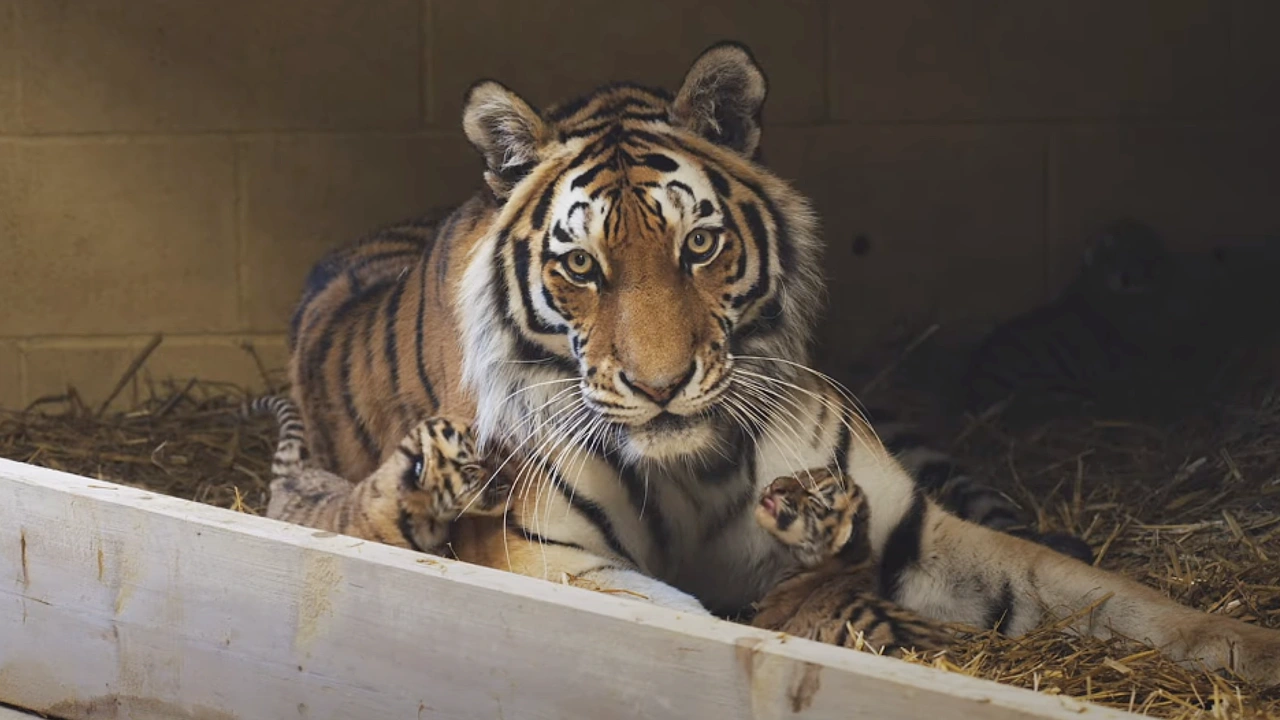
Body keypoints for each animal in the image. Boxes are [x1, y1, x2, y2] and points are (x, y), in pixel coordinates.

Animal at [275, 41, 1280, 681]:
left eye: (699, 246)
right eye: (581, 266)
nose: (661, 387)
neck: (695, 465)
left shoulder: (908, 523)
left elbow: (1115, 596)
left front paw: (1251, 651)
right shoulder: (547, 558)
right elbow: (683, 624)